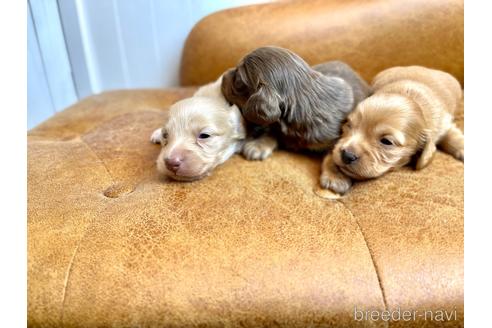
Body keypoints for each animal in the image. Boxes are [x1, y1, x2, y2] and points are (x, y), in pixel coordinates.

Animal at [320, 66, 464, 195]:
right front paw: (335, 175)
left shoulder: (443, 122)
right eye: (349, 125)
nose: (347, 155)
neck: (408, 95)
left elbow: (452, 136)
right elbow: (333, 151)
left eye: (386, 141)